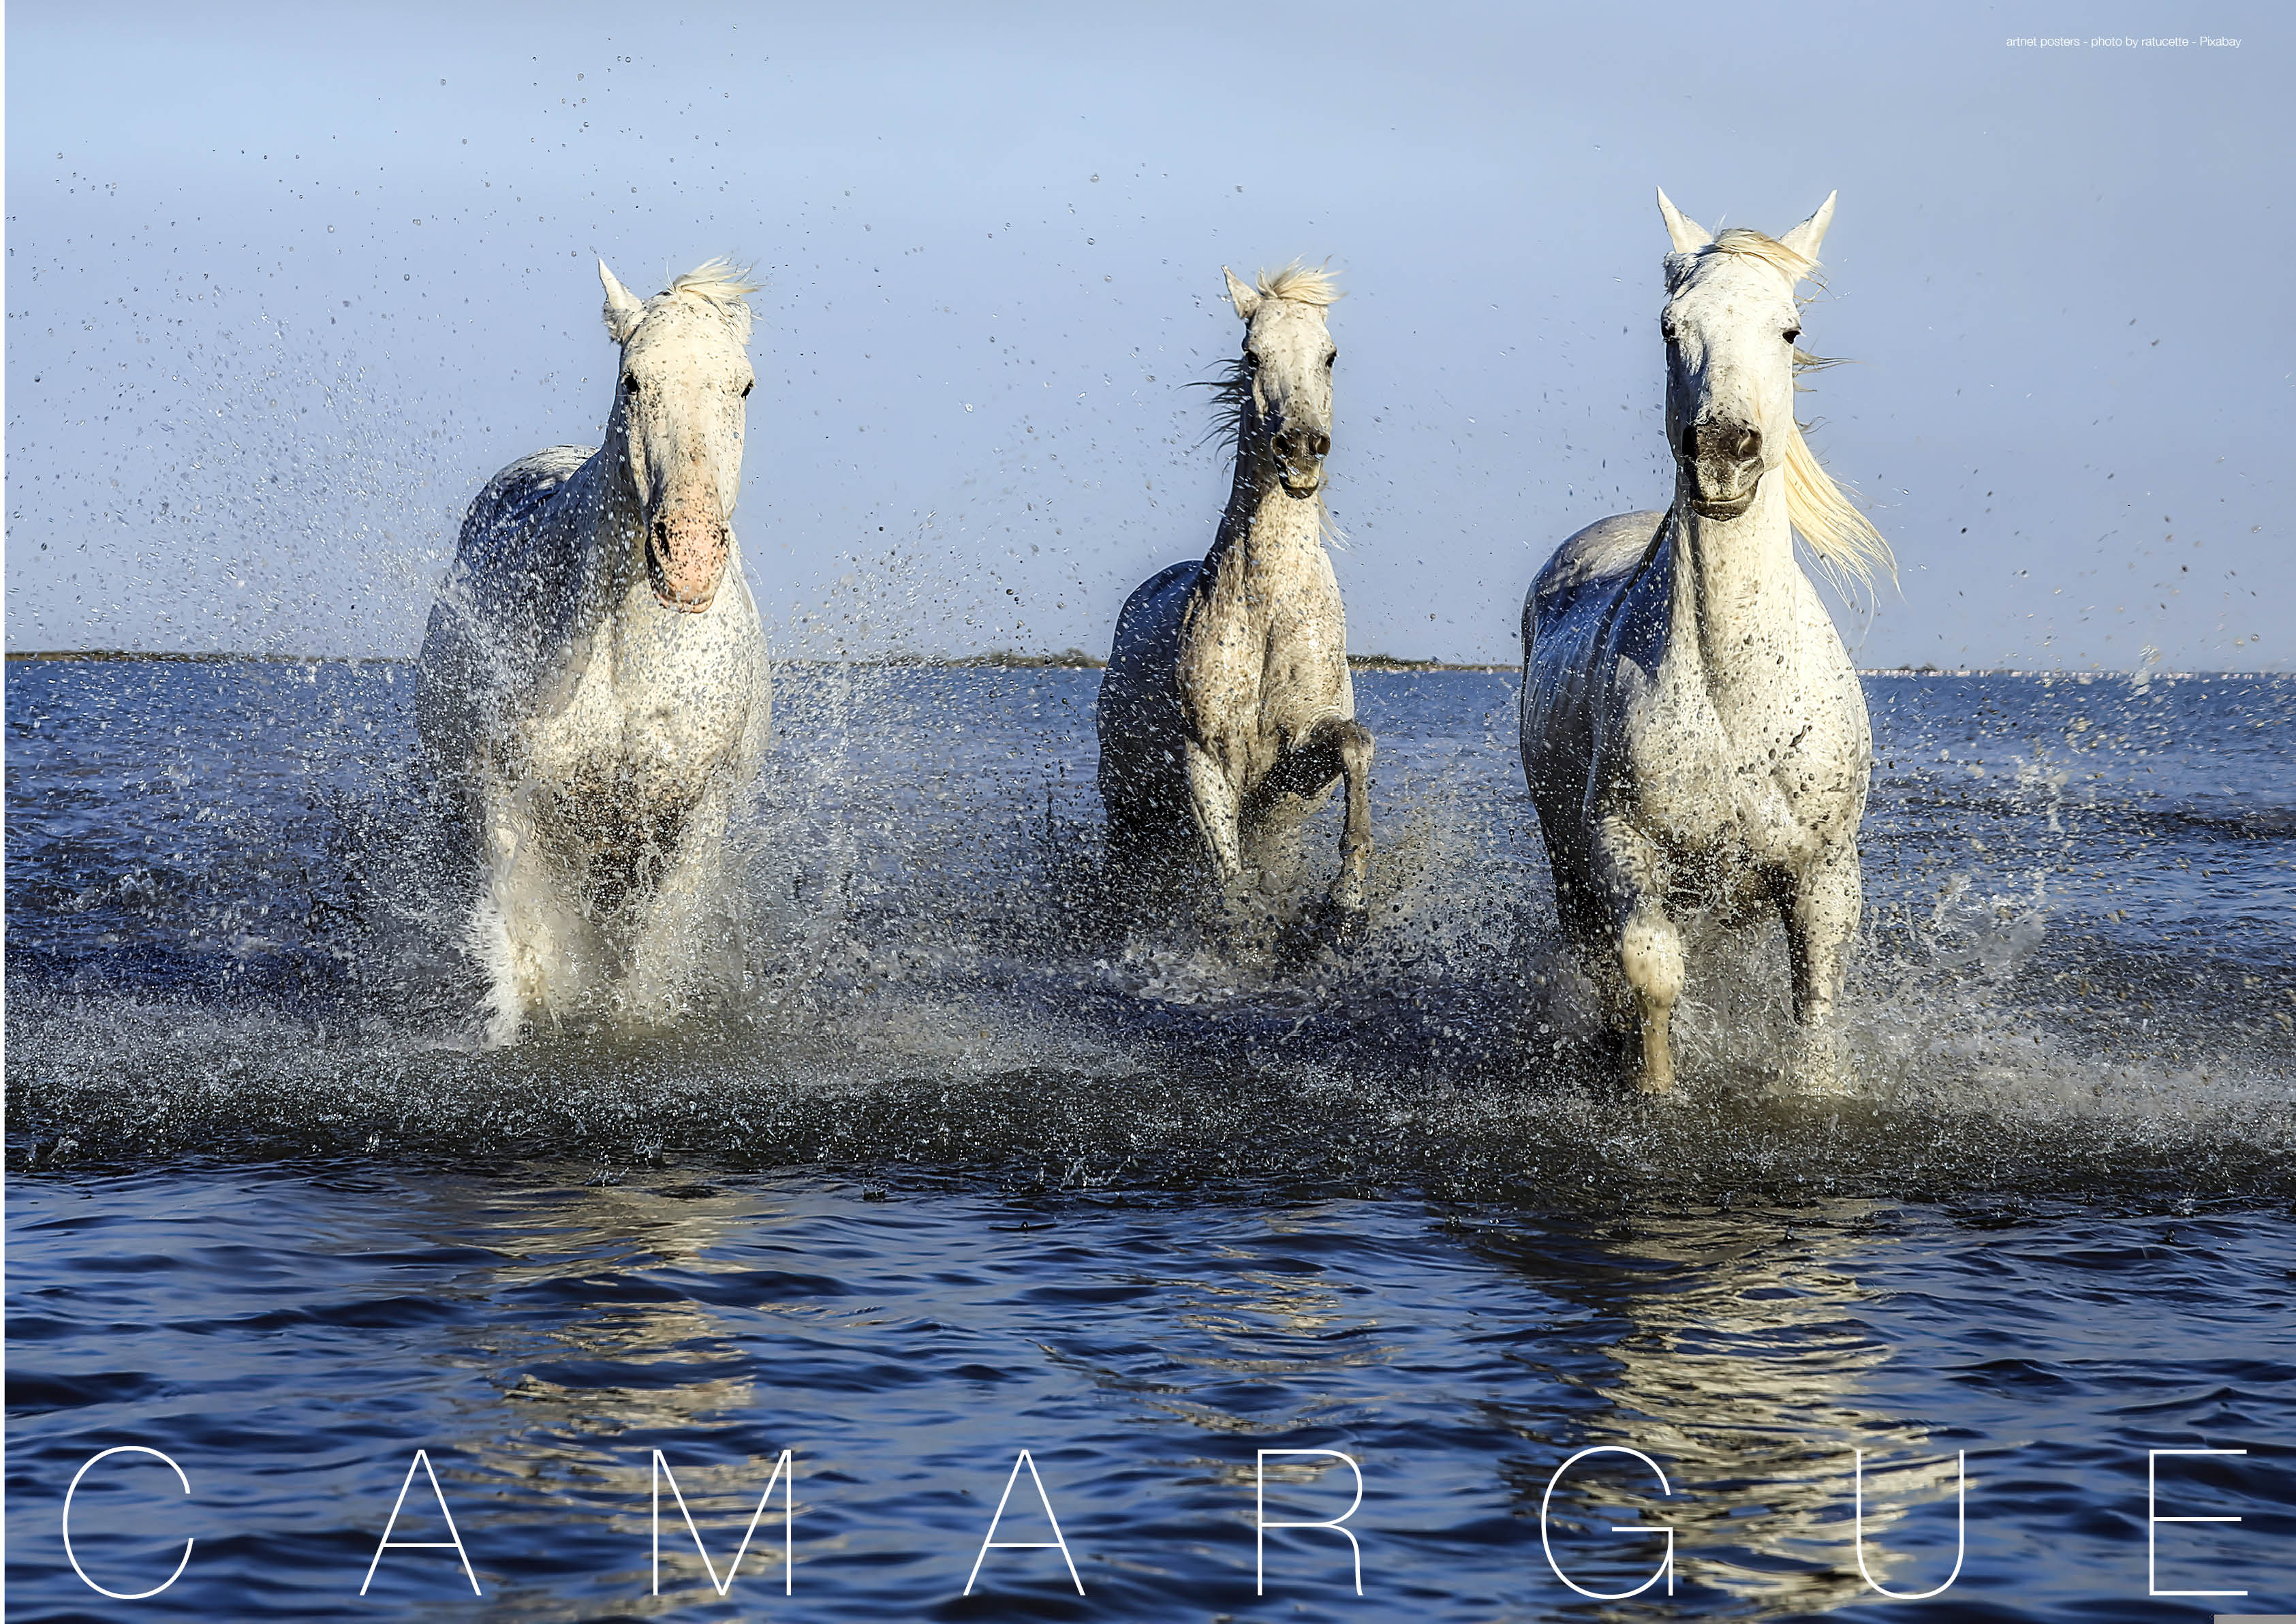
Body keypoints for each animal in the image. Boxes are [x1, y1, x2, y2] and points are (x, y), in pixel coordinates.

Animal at [415, 253, 771, 1042]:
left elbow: (653, 956)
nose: (688, 557)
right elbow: (528, 954)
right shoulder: (506, 793)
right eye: (633, 379)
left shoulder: (697, 811)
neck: (626, 655)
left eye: (744, 384)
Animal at [1097, 262, 1368, 933]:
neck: (1270, 610)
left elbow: (1357, 745)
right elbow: (1229, 874)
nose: (1301, 448)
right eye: (1252, 355)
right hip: (1127, 805)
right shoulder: (1207, 761)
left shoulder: (1296, 764)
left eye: (1330, 355)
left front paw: (1348, 900)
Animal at [1524, 196, 1882, 1097]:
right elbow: (1650, 972)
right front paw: (1654, 1088)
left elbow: (1814, 1006)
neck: (1735, 691)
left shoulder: (1824, 872)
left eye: (1788, 329)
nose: (1724, 450)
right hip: (1566, 861)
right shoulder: (1620, 844)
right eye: (1668, 327)